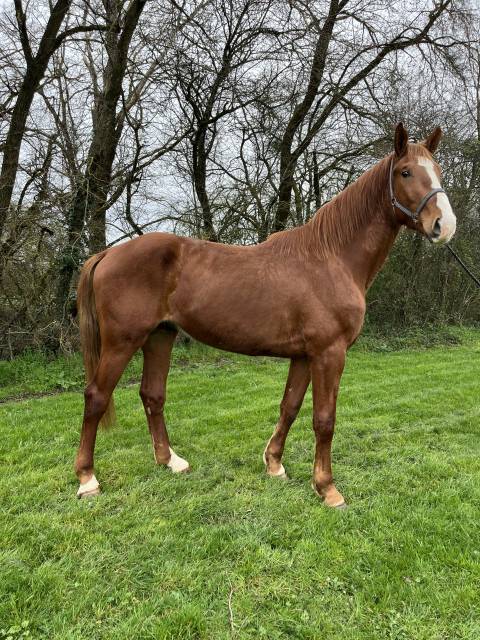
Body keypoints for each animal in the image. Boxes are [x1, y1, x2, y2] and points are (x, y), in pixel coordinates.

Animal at [75, 123, 456, 508]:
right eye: (405, 172)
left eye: (438, 171)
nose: (445, 225)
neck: (331, 257)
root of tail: (108, 254)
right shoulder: (329, 352)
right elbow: (324, 419)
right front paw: (327, 488)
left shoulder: (304, 355)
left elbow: (290, 406)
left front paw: (274, 464)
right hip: (123, 341)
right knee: (96, 397)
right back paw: (88, 479)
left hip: (160, 335)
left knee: (152, 395)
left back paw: (171, 461)